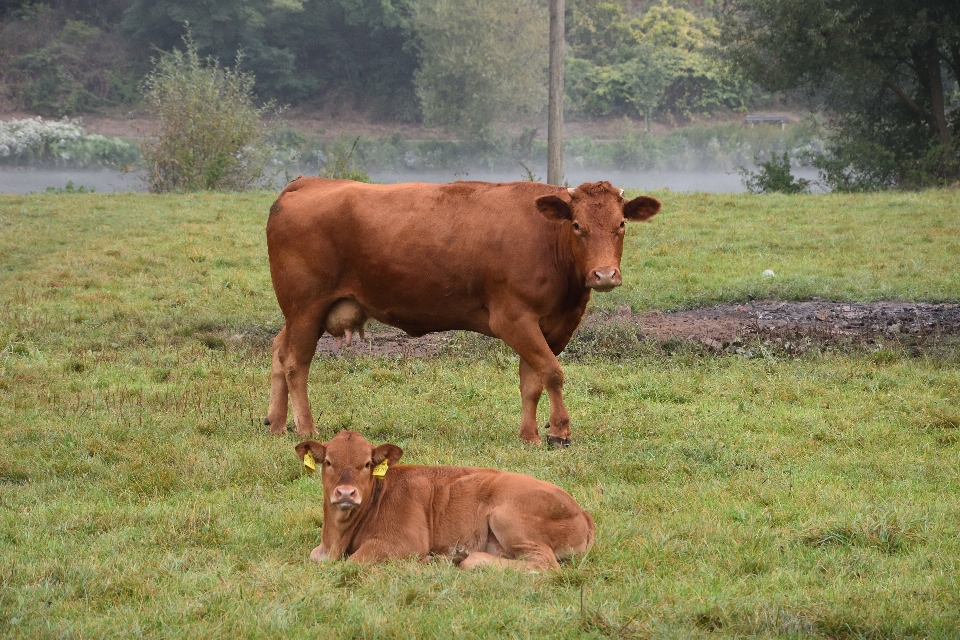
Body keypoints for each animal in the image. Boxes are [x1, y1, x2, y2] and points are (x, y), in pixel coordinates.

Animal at [266, 175, 664, 444]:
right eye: (578, 225)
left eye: (621, 225)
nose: (604, 275)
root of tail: (306, 182)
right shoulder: (513, 318)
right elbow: (552, 373)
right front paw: (560, 431)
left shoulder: (551, 325)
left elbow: (532, 381)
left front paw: (530, 435)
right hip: (306, 306)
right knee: (296, 363)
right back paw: (306, 427)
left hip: (302, 313)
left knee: (279, 350)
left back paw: (277, 422)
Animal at [294, 430, 592, 568]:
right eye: (328, 462)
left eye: (367, 464)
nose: (346, 493)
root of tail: (583, 512)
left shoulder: (405, 542)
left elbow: (355, 561)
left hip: (508, 518)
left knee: (543, 564)